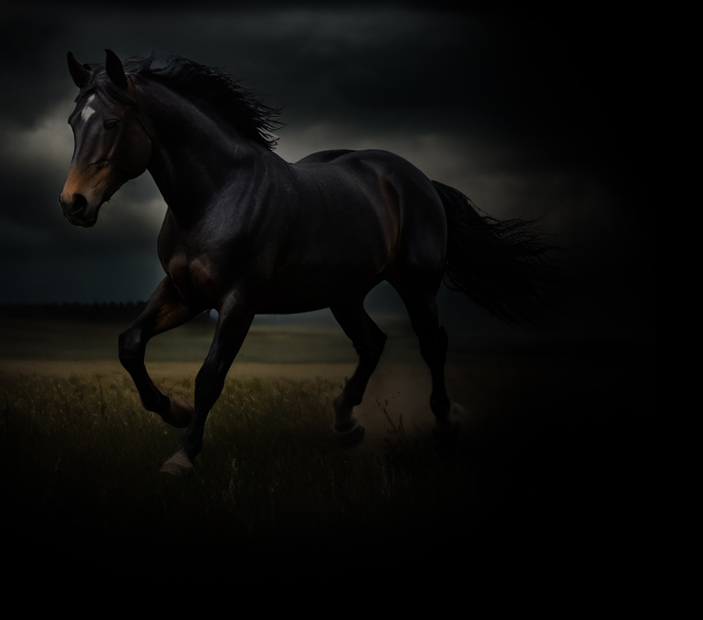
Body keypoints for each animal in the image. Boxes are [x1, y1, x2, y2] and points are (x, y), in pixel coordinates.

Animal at [59, 50, 556, 477]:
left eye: (111, 121)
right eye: (71, 122)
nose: (73, 204)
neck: (214, 197)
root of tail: (420, 181)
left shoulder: (238, 301)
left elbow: (210, 376)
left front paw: (182, 456)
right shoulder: (184, 294)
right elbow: (130, 344)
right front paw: (174, 410)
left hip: (417, 286)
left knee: (432, 345)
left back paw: (445, 424)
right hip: (344, 295)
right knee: (372, 343)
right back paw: (345, 424)